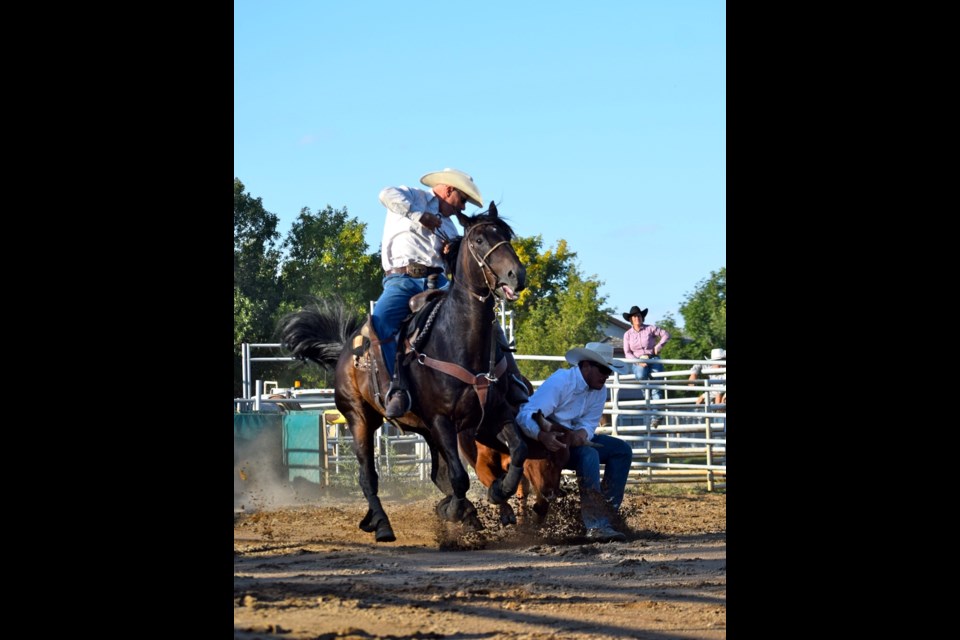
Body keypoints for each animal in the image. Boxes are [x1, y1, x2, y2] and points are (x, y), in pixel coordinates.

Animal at [278, 202, 528, 544]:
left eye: (506, 235)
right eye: (478, 240)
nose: (517, 275)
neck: (459, 341)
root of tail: (345, 350)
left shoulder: (494, 414)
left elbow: (517, 451)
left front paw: (497, 493)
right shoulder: (442, 421)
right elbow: (460, 477)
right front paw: (455, 511)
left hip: (426, 430)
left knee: (437, 473)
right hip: (359, 418)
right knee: (368, 476)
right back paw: (383, 524)